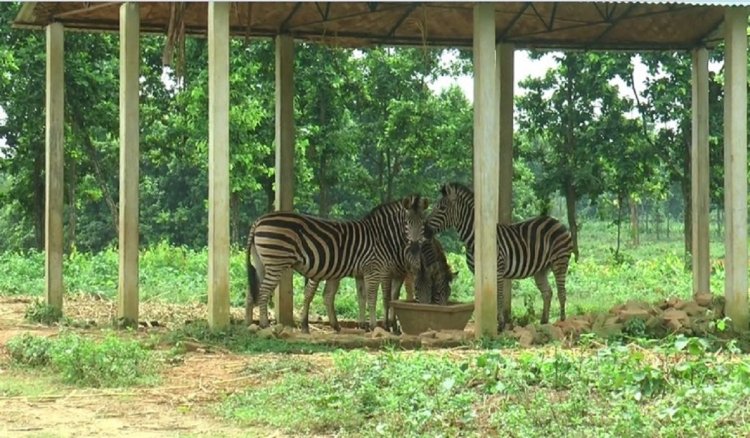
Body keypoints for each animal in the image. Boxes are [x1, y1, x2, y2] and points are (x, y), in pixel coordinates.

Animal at [248, 195, 428, 328]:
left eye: (422, 223)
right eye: (406, 223)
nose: (414, 248)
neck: (380, 236)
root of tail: (259, 220)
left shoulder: (362, 272)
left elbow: (363, 298)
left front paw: (366, 326)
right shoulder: (374, 269)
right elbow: (374, 298)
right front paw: (375, 326)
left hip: (262, 264)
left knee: (253, 291)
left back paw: (251, 324)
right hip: (275, 263)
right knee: (263, 291)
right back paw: (264, 324)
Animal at [424, 183, 576, 330]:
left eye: (442, 208)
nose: (424, 230)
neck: (475, 240)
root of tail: (557, 221)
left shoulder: (498, 270)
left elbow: (499, 296)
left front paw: (500, 324)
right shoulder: (477, 272)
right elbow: (481, 297)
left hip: (560, 261)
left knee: (561, 292)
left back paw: (562, 321)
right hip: (541, 269)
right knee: (547, 292)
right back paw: (544, 322)